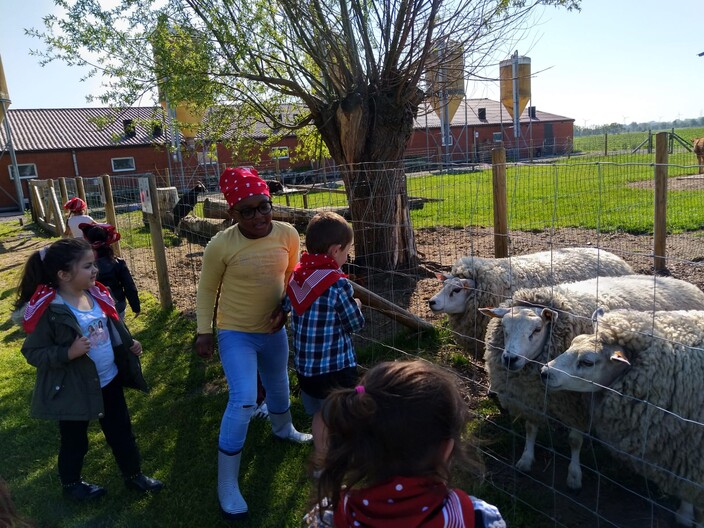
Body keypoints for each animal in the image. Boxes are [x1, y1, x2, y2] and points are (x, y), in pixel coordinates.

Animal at [482, 276, 704, 490]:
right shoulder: (530, 398)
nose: (509, 359)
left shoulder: (577, 406)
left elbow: (574, 441)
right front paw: (526, 459)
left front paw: (574, 476)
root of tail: (682, 283)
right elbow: (530, 428)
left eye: (537, 330)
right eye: (504, 327)